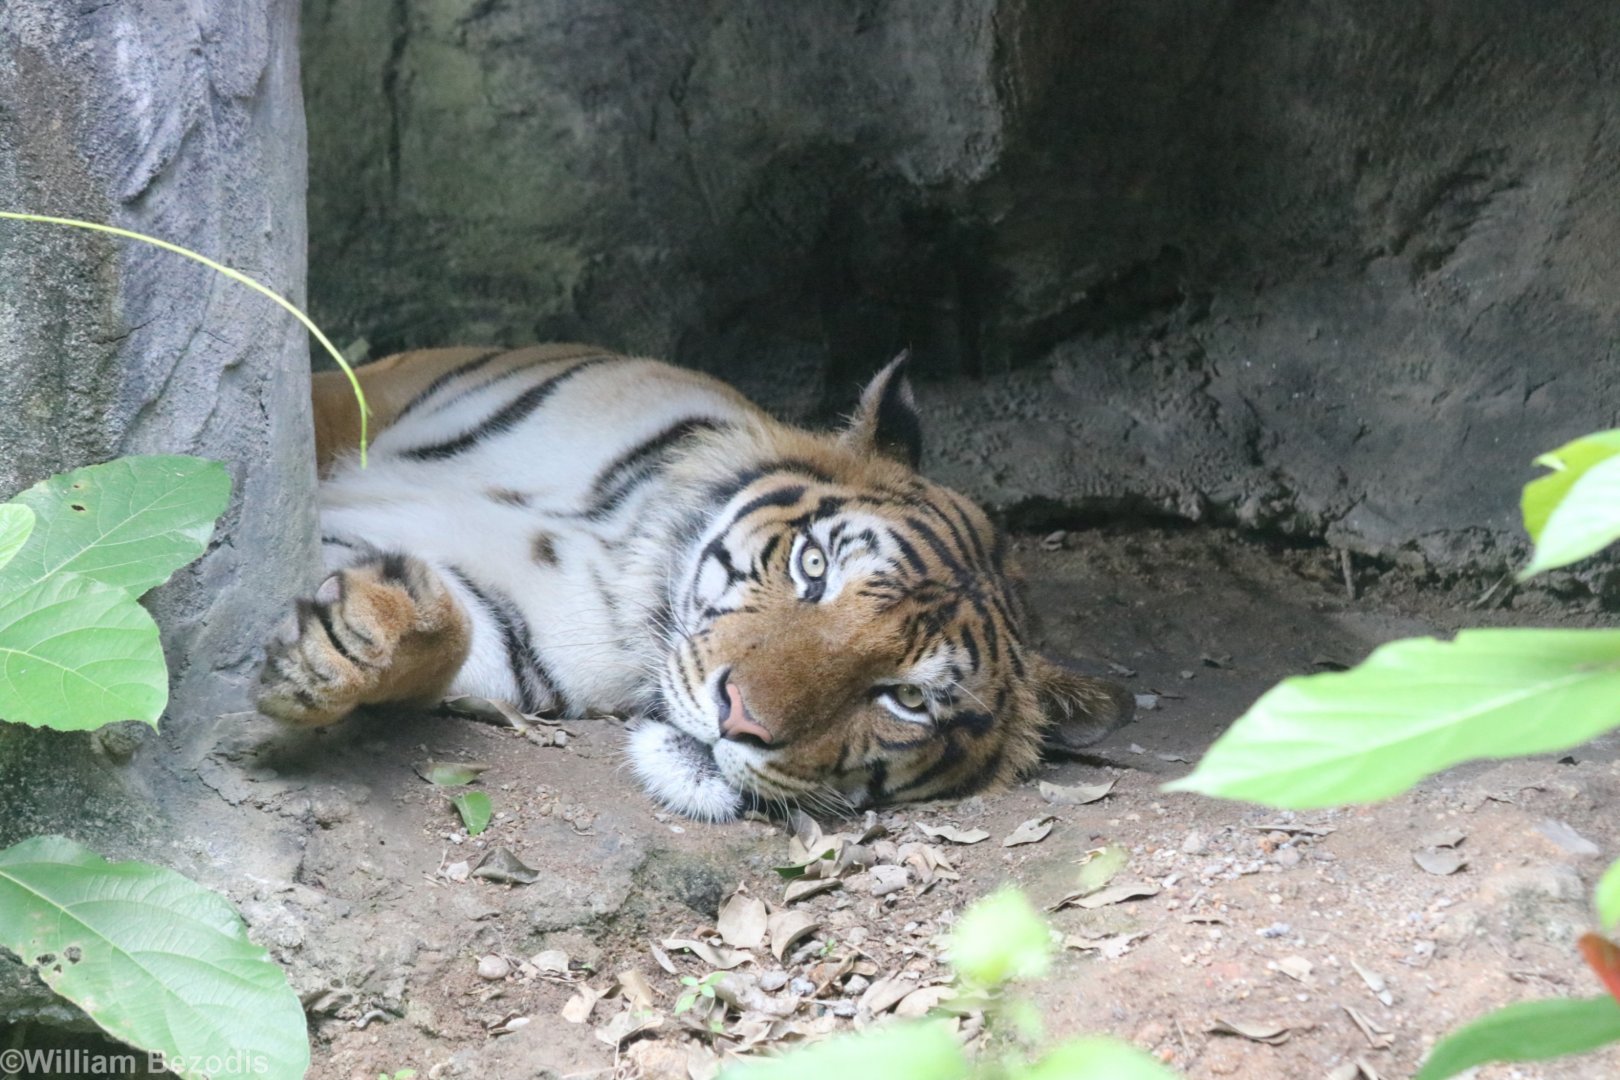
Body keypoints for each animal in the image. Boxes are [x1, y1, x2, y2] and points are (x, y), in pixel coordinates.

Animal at [256, 344, 1134, 821]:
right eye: (814, 566)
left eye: (909, 700)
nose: (738, 719)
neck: (628, 550)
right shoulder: (361, 391)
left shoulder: (512, 641)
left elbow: (453, 632)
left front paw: (345, 644)